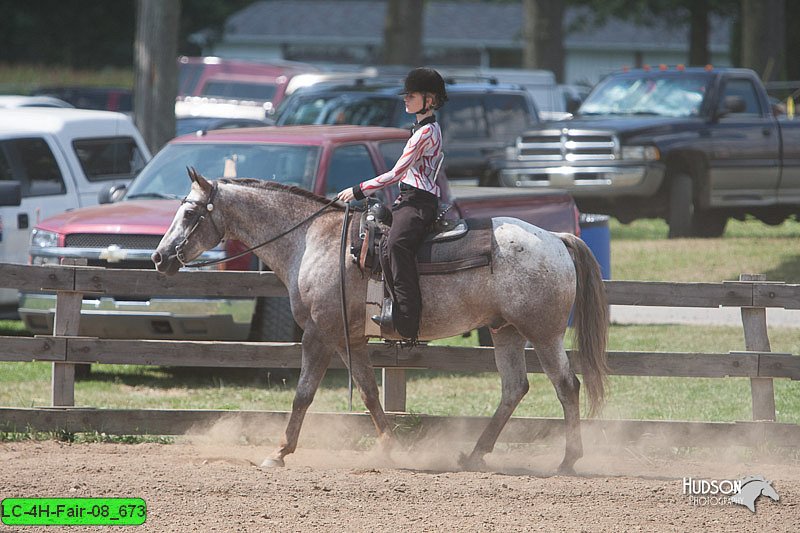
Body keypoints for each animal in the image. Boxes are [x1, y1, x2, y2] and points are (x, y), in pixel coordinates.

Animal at [153, 168, 608, 472]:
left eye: (190, 214)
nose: (159, 257)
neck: (312, 239)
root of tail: (556, 239)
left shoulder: (319, 334)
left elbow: (303, 393)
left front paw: (279, 453)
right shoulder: (349, 339)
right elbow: (370, 393)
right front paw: (390, 447)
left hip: (543, 334)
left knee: (567, 386)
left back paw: (568, 460)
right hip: (505, 331)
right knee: (514, 388)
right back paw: (475, 454)